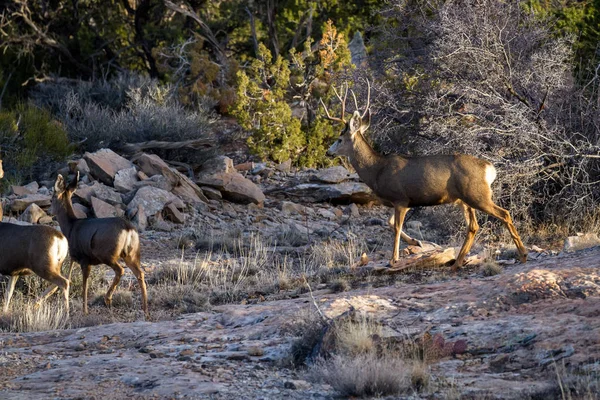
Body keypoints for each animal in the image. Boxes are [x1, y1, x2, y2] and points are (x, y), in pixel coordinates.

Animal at [53, 172, 149, 318]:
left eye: (52, 198)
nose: (50, 212)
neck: (70, 228)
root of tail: (128, 228)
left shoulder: (84, 259)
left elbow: (84, 285)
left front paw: (84, 311)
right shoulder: (74, 258)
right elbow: (68, 278)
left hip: (107, 254)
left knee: (120, 270)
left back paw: (108, 299)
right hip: (132, 254)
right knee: (140, 273)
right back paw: (145, 309)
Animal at [322, 81, 528, 268]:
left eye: (339, 139)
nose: (327, 152)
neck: (377, 170)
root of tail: (489, 168)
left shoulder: (400, 198)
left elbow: (395, 227)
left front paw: (393, 259)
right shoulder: (403, 201)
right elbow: (389, 222)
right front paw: (416, 242)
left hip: (477, 194)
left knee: (504, 214)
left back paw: (523, 255)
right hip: (464, 199)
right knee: (473, 226)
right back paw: (457, 263)